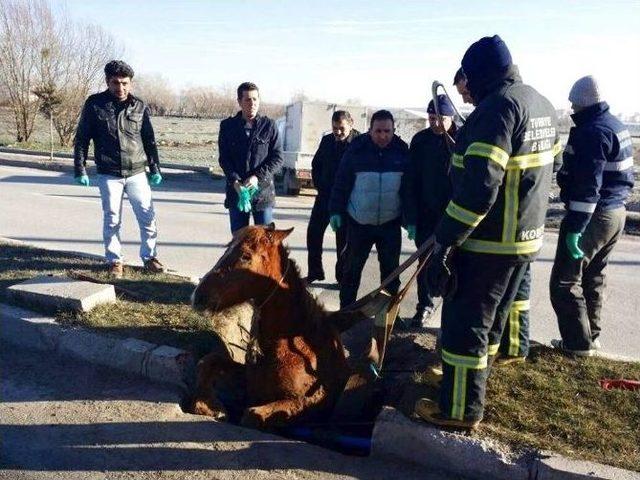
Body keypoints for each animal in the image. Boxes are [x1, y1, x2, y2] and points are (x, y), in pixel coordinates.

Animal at [189, 223, 364, 426]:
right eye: (227, 249)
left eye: (246, 256)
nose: (198, 296)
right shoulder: (250, 380)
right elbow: (207, 362)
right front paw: (210, 406)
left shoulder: (315, 399)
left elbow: (251, 415)